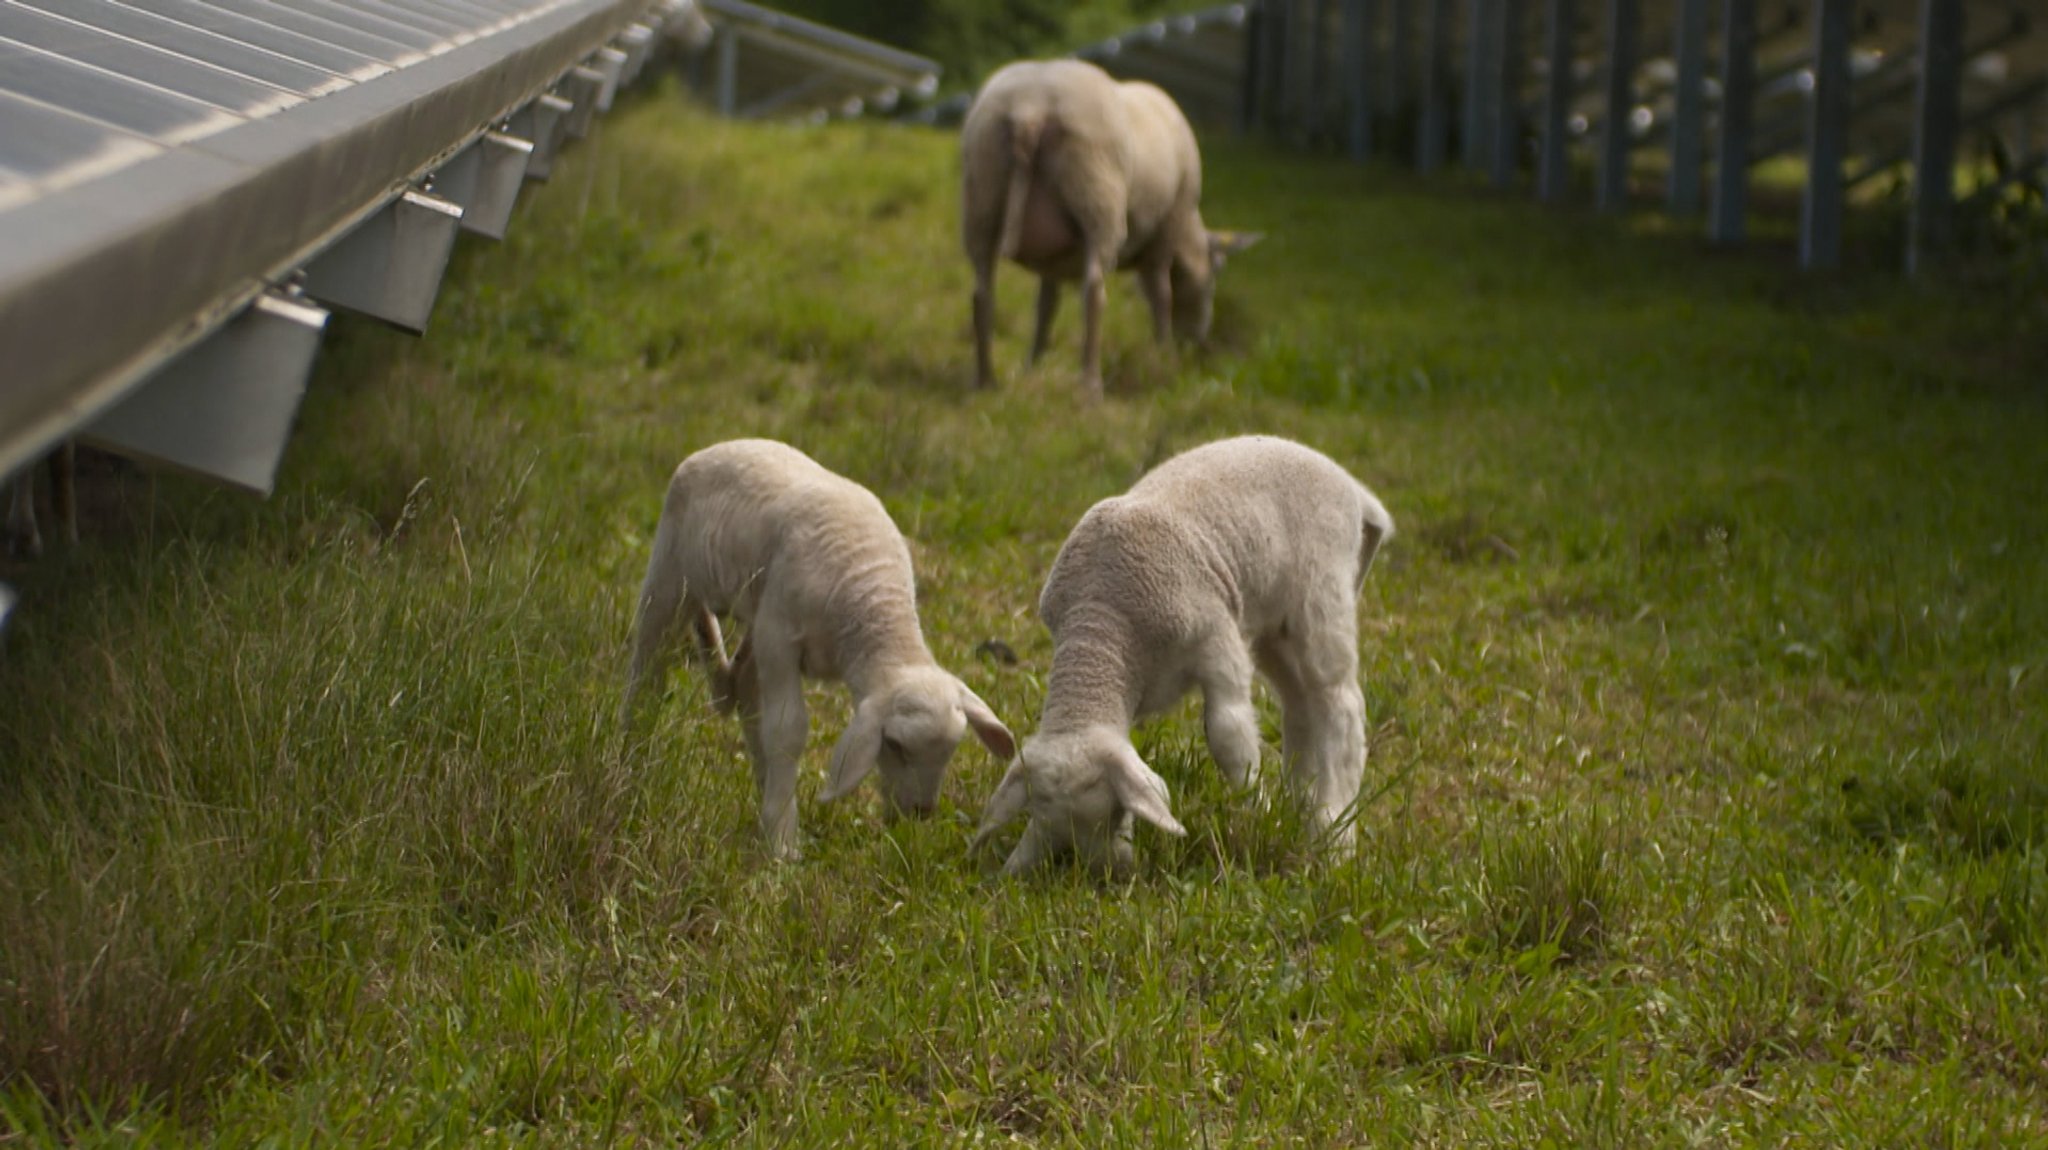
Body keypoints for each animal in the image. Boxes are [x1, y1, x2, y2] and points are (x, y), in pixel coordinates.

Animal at [618, 433, 1011, 855]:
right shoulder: (779, 638)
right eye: (894, 745)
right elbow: (788, 729)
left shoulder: (771, 631)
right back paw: (630, 756)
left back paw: (765, 785)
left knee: (743, 686)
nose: (919, 812)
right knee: (647, 667)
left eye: (952, 749)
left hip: (754, 611)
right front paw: (783, 843)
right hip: (669, 577)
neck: (870, 601)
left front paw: (777, 818)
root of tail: (722, 444)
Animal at [962, 58, 1261, 399]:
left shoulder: (1053, 260)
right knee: (1093, 293)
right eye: (1216, 272)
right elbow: (1161, 294)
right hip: (1098, 200)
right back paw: (1091, 385)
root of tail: (1029, 109)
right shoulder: (1166, 233)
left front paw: (1034, 365)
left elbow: (1045, 306)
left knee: (981, 293)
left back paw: (985, 381)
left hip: (981, 197)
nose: (1195, 341)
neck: (1188, 237)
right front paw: (1164, 355)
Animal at [970, 433, 1392, 871]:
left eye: (1117, 814)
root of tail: (1354, 491)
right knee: (1301, 704)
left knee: (1339, 704)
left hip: (1322, 595)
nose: (1115, 874)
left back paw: (1335, 836)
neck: (1103, 625)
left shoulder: (1217, 636)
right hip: (1275, 627)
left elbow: (1228, 732)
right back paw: (1303, 811)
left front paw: (1257, 810)